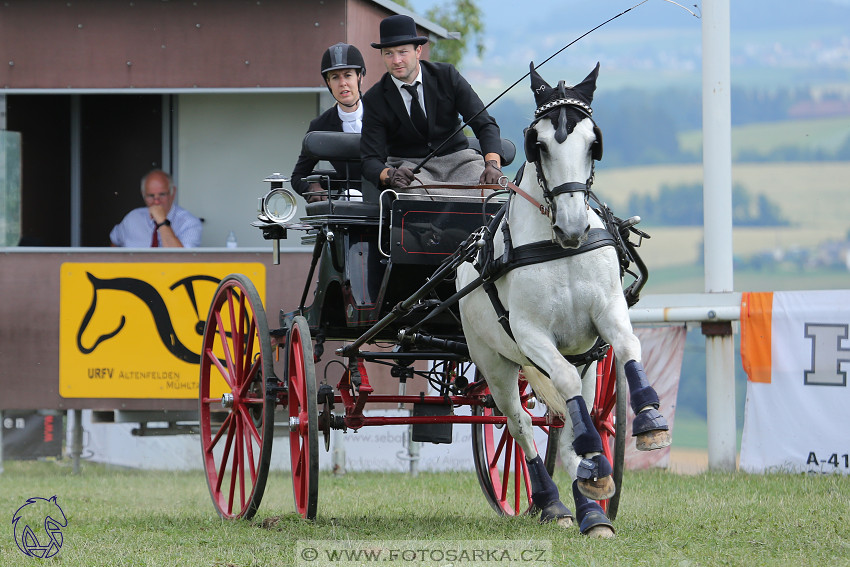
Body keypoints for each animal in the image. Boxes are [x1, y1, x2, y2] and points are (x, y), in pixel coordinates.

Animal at [458, 64, 668, 540]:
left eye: (594, 142)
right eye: (538, 144)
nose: (573, 227)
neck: (559, 250)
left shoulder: (607, 314)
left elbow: (628, 347)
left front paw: (650, 421)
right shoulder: (532, 336)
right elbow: (559, 396)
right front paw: (587, 470)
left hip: (585, 358)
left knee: (575, 419)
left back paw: (592, 503)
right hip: (494, 361)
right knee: (517, 423)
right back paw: (553, 501)